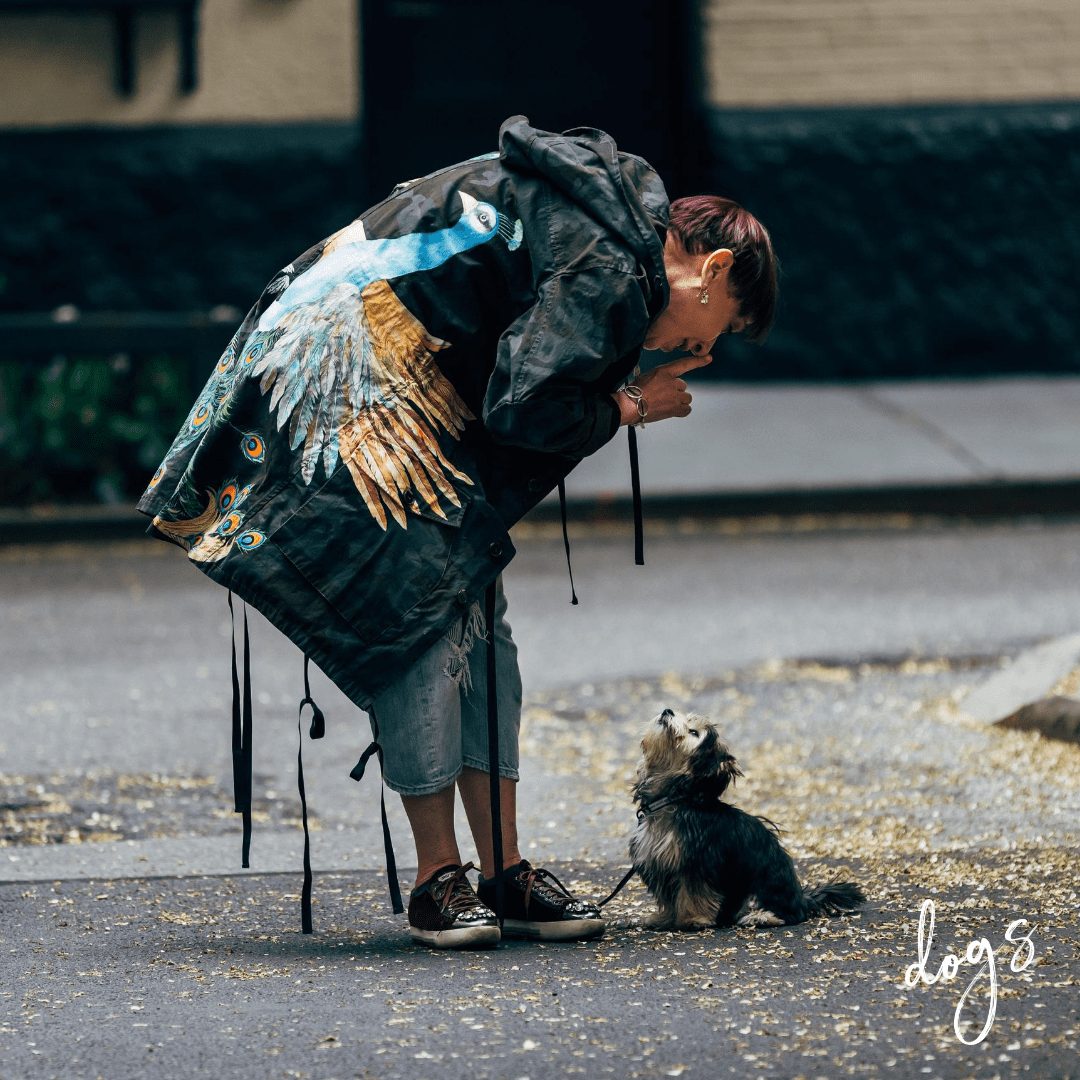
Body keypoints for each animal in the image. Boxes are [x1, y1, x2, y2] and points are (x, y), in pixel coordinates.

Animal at [630, 708, 864, 928]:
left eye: (694, 732)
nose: (667, 710)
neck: (672, 799)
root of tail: (801, 900)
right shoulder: (660, 862)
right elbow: (670, 898)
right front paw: (664, 918)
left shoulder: (697, 861)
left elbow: (693, 892)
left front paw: (693, 919)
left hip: (763, 881)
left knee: (788, 914)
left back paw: (762, 916)